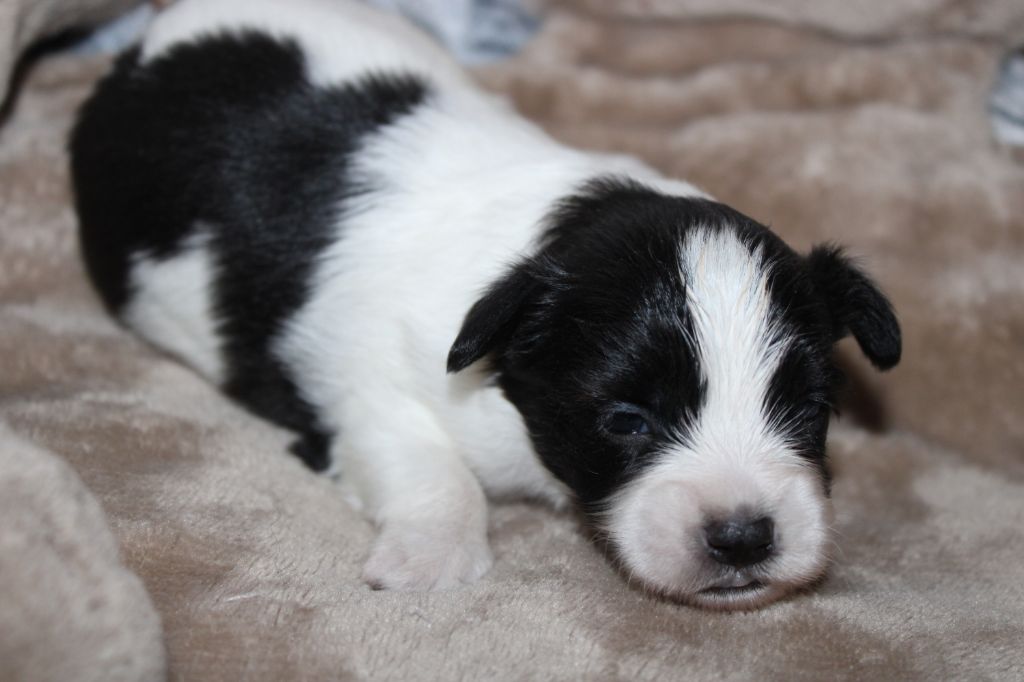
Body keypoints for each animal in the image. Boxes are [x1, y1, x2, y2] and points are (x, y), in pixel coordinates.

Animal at [70, 0, 897, 606]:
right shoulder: (367, 388)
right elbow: (432, 468)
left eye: (808, 412)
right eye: (626, 422)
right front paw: (428, 558)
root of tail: (155, 37)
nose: (743, 537)